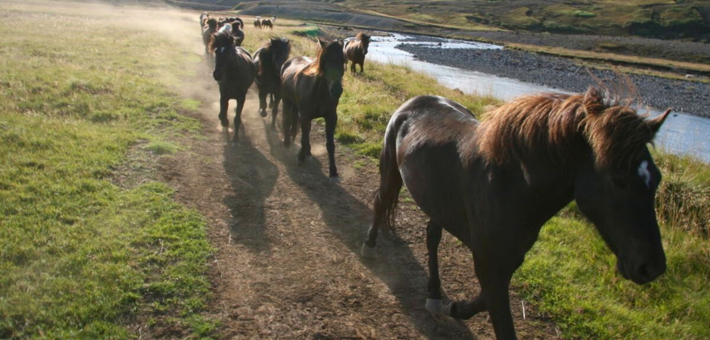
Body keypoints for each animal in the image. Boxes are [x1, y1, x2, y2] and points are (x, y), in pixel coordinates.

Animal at [282, 38, 346, 182]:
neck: (319, 92)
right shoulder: (305, 115)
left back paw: (308, 151)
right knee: (287, 120)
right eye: (325, 60)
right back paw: (287, 142)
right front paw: (300, 157)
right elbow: (304, 138)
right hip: (286, 101)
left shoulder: (331, 117)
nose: (336, 90)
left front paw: (333, 172)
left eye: (343, 60)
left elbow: (330, 145)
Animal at [364, 88, 672, 340]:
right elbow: (501, 322)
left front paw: (456, 307)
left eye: (656, 178)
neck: (512, 184)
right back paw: (369, 245)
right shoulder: (489, 263)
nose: (652, 267)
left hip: (436, 201)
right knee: (380, 204)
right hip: (391, 171)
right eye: (618, 180)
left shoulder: (507, 260)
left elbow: (482, 300)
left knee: (431, 238)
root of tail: (414, 102)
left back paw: (434, 293)